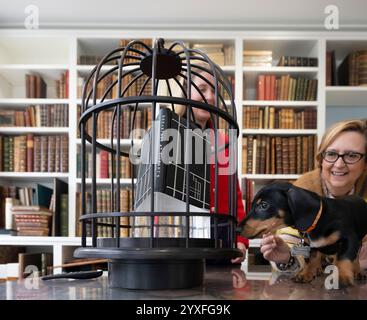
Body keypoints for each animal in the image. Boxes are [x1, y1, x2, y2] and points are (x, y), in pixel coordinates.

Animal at [239, 181, 367, 286]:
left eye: (264, 205)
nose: (237, 229)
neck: (319, 219)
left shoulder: (349, 239)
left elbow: (343, 258)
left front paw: (341, 277)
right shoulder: (308, 244)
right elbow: (311, 258)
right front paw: (305, 274)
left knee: (355, 257)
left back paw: (357, 271)